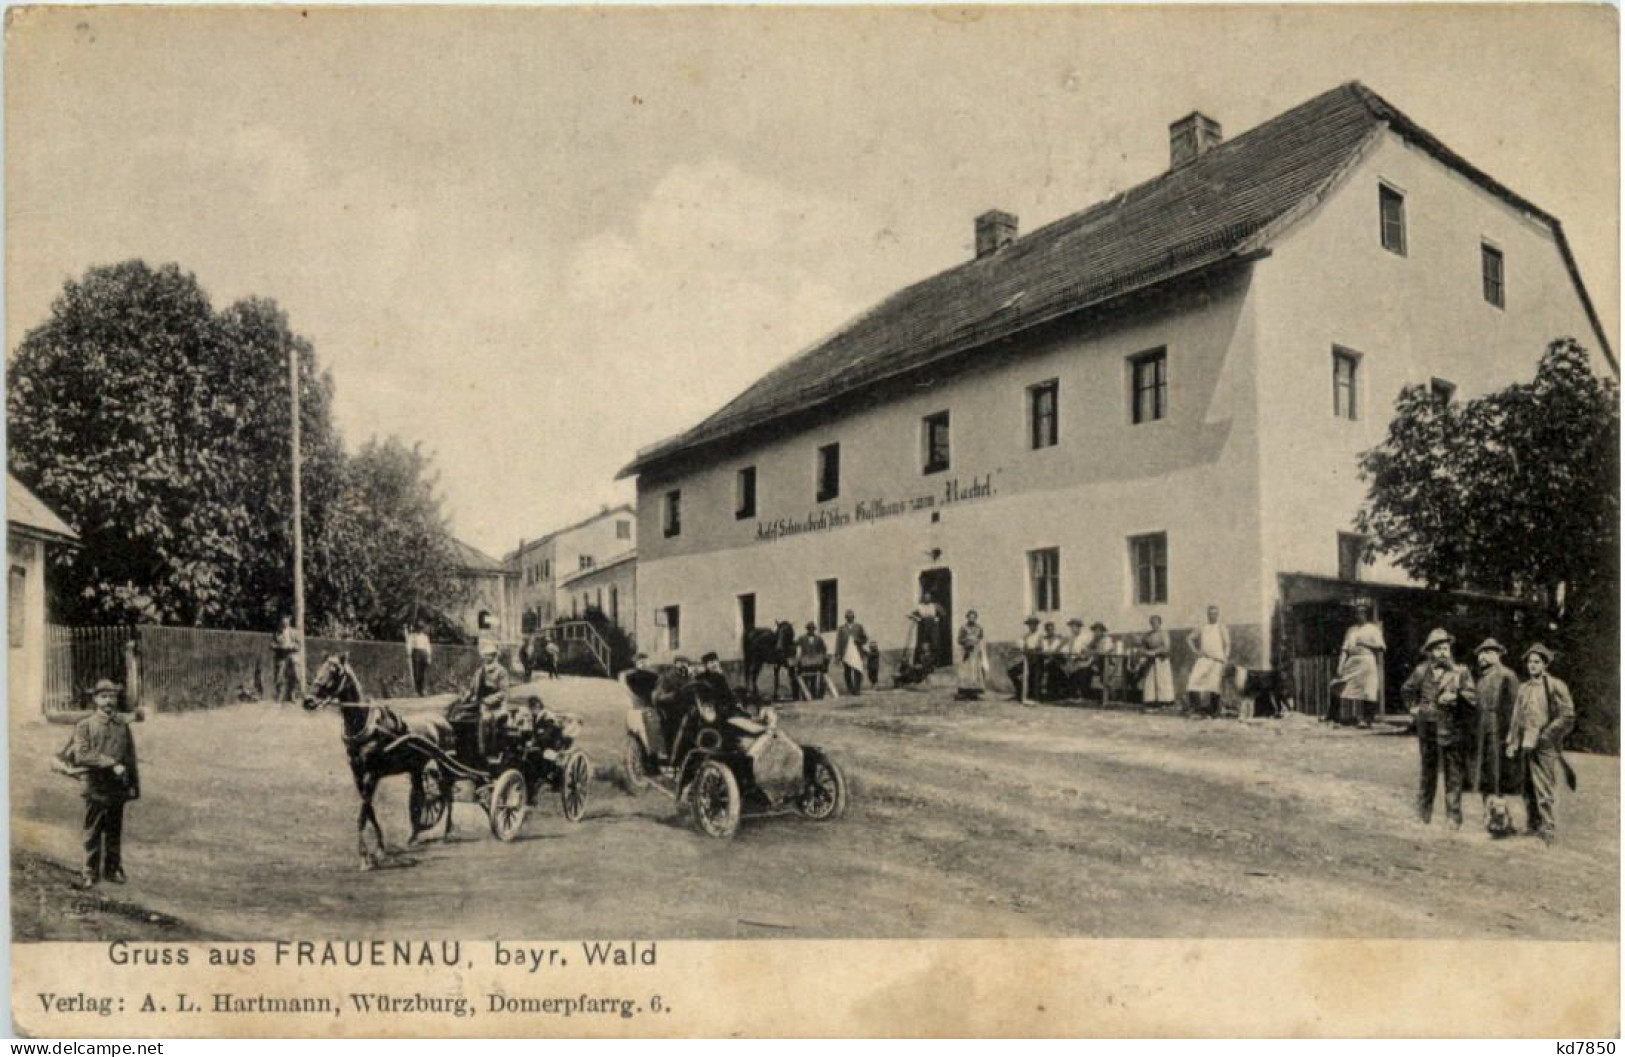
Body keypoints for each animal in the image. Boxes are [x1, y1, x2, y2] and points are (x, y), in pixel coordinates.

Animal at [303, 650, 458, 865]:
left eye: (335, 672)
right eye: (320, 669)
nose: (308, 701)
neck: (365, 726)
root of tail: (444, 720)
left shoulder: (373, 774)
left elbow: (363, 813)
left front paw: (365, 855)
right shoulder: (358, 775)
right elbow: (369, 810)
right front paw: (378, 849)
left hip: (444, 764)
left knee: (448, 794)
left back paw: (447, 833)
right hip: (416, 768)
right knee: (420, 797)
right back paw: (413, 837)